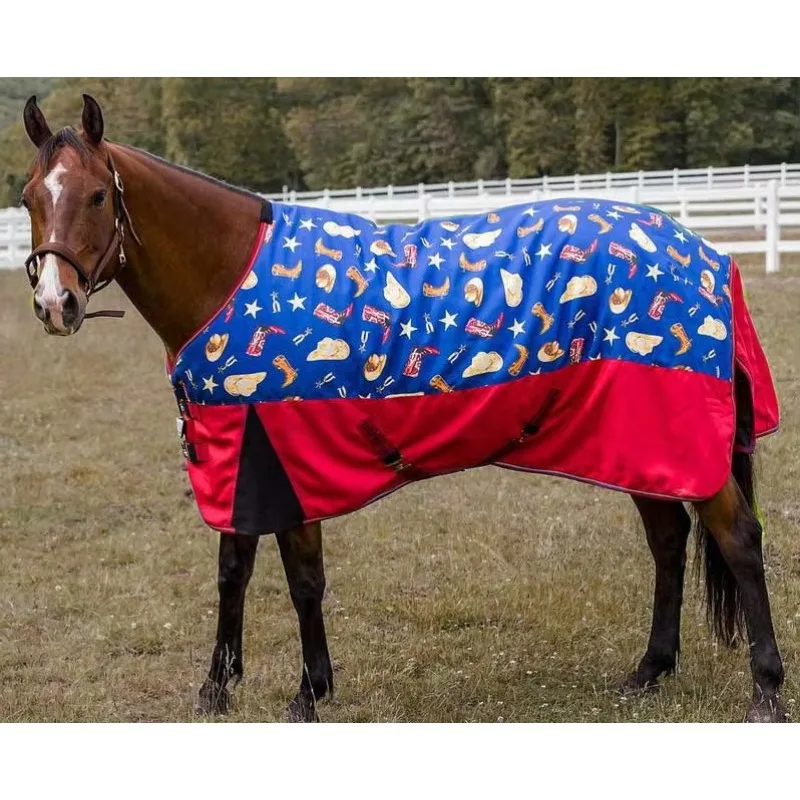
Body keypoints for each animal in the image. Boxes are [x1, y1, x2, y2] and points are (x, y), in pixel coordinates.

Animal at [18, 94, 786, 722]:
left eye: (96, 195)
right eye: (28, 196)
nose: (56, 304)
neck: (232, 276)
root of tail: (705, 255)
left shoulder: (283, 456)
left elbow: (302, 579)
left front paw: (308, 693)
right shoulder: (237, 449)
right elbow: (233, 571)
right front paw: (217, 689)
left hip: (680, 443)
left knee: (738, 541)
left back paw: (766, 692)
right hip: (635, 443)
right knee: (668, 539)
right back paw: (650, 670)